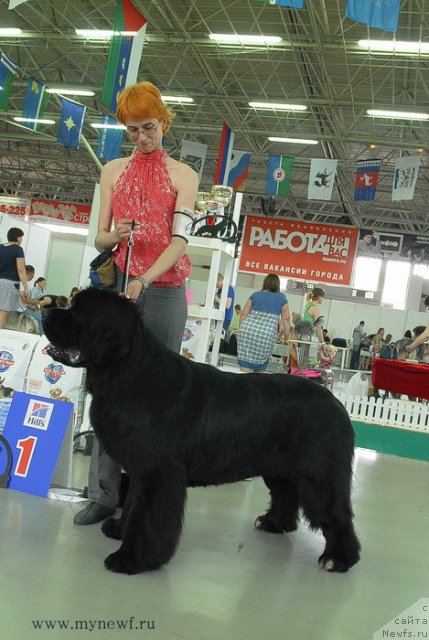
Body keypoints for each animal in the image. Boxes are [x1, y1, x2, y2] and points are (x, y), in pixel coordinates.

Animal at [43, 288, 360, 576]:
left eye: (78, 312)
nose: (45, 310)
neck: (130, 374)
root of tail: (336, 403)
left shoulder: (158, 473)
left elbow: (147, 516)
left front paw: (131, 559)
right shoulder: (139, 469)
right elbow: (132, 504)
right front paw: (120, 530)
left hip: (319, 474)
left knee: (336, 513)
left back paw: (338, 558)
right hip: (280, 469)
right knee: (286, 495)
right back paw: (274, 523)